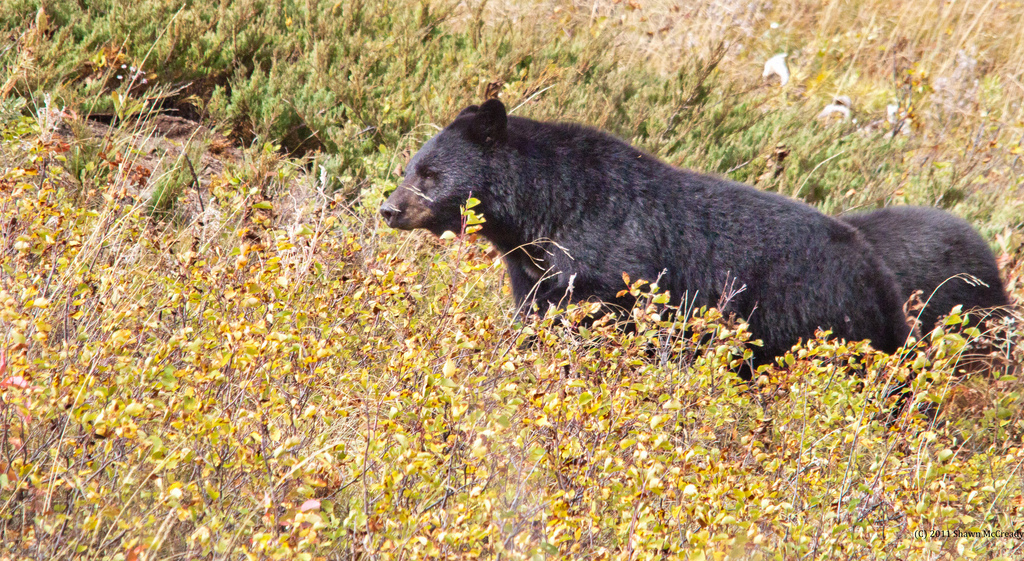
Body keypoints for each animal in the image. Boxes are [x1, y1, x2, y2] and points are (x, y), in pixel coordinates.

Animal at [380, 99, 909, 372]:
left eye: (430, 174)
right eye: (410, 167)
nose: (389, 209)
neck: (545, 212)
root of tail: (881, 281)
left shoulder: (609, 262)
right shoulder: (532, 269)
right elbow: (535, 314)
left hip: (817, 319)